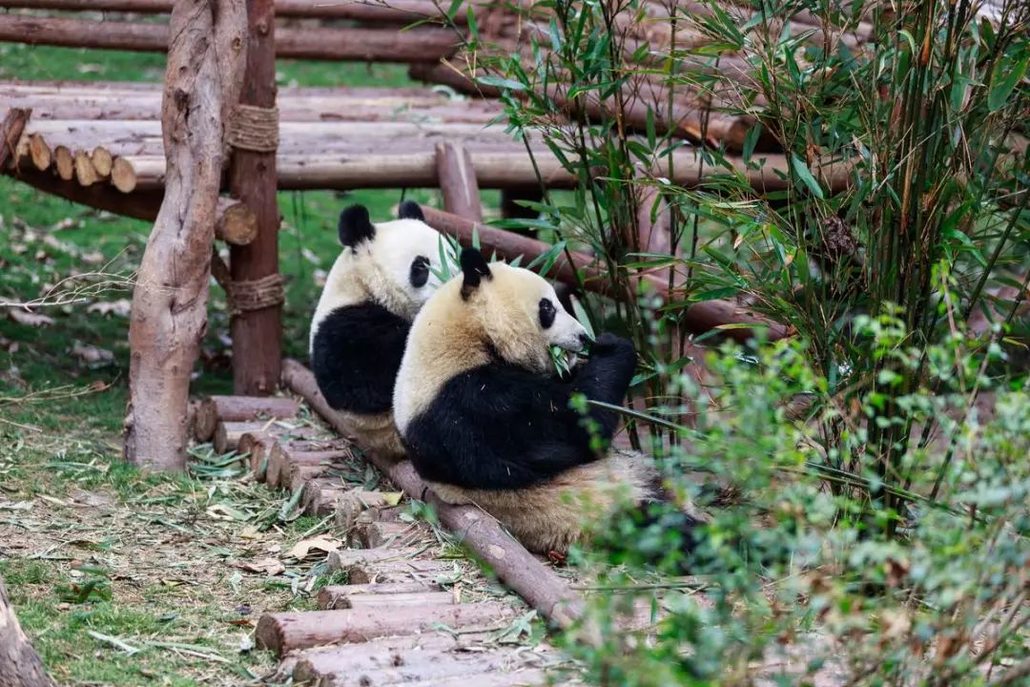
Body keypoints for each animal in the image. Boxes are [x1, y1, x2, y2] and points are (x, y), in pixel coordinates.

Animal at [391, 247, 700, 552]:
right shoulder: (474, 405)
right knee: (662, 529)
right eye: (547, 308)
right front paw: (613, 346)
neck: (463, 339)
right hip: (597, 511)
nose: (583, 336)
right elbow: (575, 430)